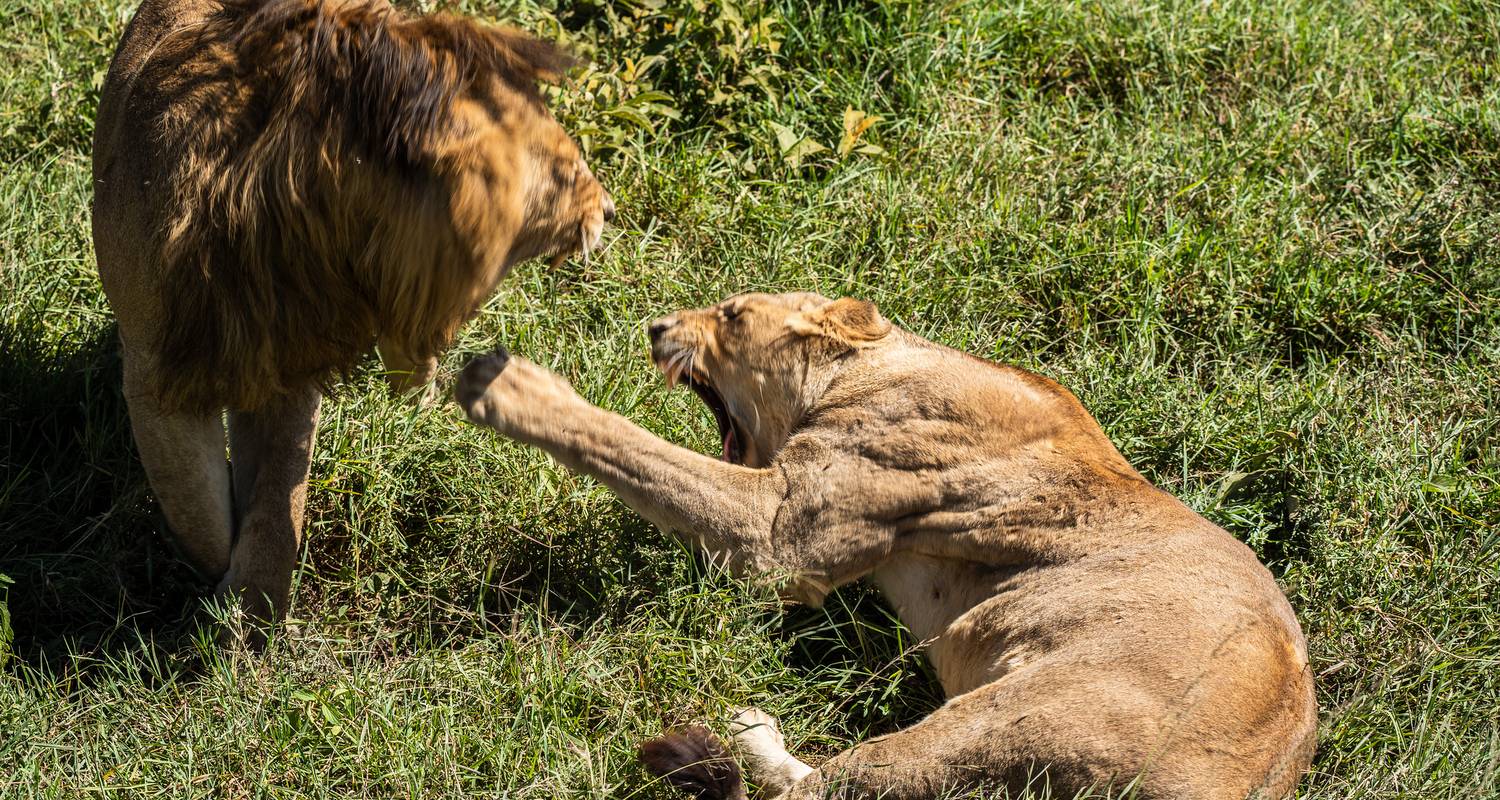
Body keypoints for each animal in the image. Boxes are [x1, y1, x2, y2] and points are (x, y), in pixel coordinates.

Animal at [93, 0, 612, 639]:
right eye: (561, 171)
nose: (608, 209)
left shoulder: (289, 359)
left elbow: (278, 497)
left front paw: (253, 606)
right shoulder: (157, 372)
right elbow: (198, 504)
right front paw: (220, 590)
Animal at [453, 292, 1314, 798]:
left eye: (732, 314)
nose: (657, 328)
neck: (871, 365)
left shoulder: (784, 531)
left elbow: (639, 450)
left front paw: (508, 385)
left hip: (1025, 711)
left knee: (825, 788)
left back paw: (751, 737)